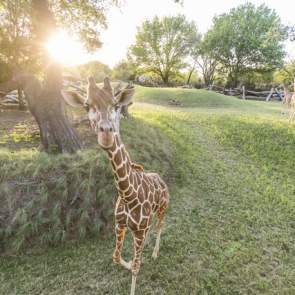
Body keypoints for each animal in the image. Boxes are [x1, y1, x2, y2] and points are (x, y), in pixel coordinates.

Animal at [62, 77, 169, 295]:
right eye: (87, 105)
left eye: (115, 105)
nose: (106, 134)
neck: (128, 195)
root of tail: (161, 179)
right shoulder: (120, 225)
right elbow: (117, 257)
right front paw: (128, 262)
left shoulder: (138, 231)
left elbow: (136, 268)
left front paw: (138, 263)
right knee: (153, 228)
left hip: (163, 208)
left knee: (161, 226)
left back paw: (155, 253)